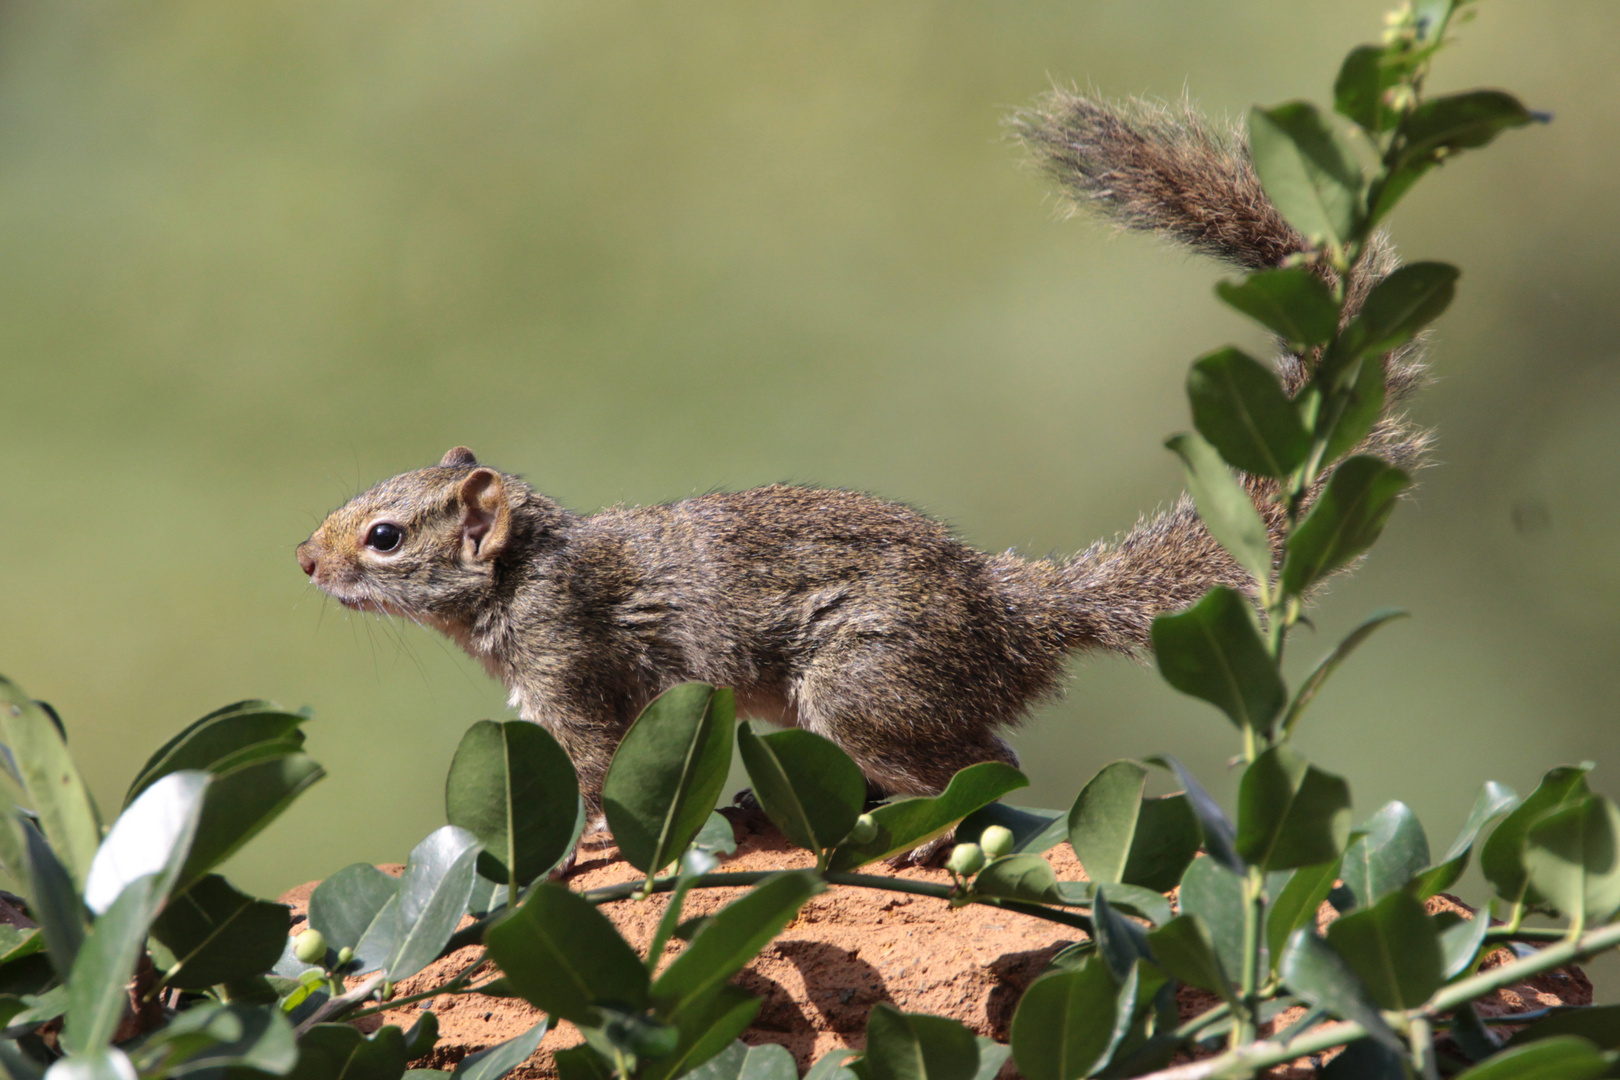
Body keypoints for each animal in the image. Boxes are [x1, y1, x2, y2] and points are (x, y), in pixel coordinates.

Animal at [294, 97, 1432, 835]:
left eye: (386, 538)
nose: (304, 559)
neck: (523, 572)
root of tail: (1012, 615)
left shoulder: (573, 668)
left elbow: (596, 779)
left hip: (865, 679)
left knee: (983, 768)